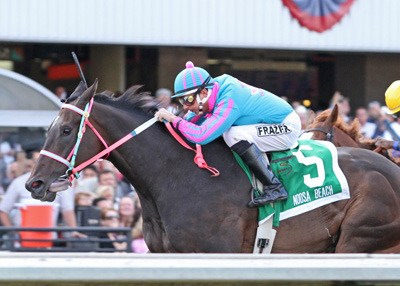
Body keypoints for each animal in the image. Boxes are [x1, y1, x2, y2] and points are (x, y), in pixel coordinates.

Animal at [25, 81, 400, 254]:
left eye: (66, 130)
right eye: (50, 128)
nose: (34, 184)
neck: (176, 177)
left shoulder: (218, 250)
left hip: (359, 237)